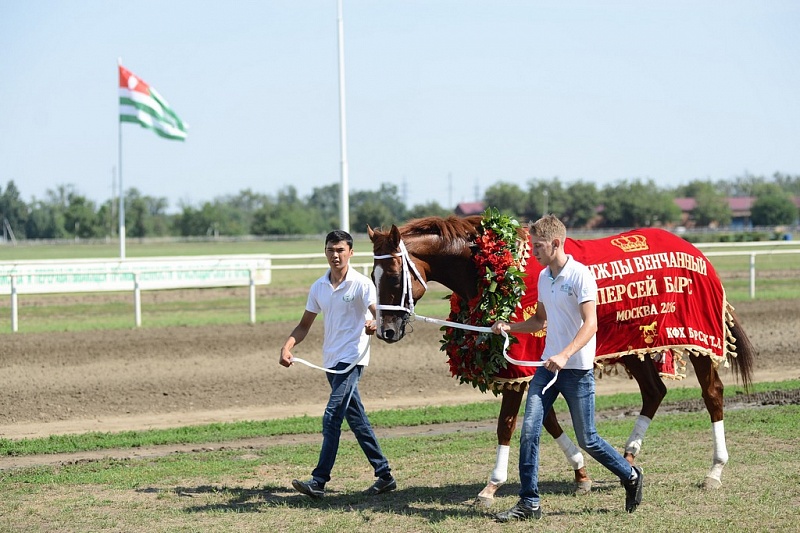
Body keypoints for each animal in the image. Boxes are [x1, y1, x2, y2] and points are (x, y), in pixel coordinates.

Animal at [368, 215, 756, 502]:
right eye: (371, 275)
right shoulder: (532, 366)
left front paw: (492, 485)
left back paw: (714, 470)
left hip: (698, 340)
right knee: (654, 391)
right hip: (635, 344)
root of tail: (696, 251)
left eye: (393, 276)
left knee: (712, 394)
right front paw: (581, 472)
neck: (494, 269)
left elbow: (507, 423)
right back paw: (628, 457)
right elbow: (547, 419)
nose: (385, 330)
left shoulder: (518, 365)